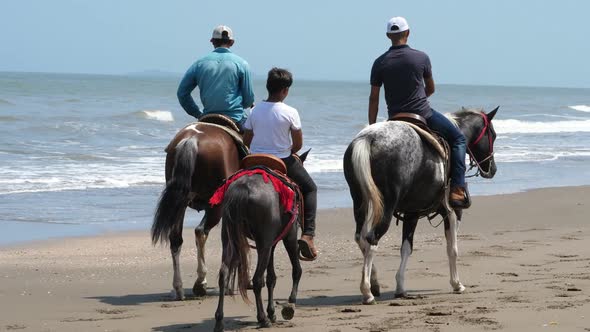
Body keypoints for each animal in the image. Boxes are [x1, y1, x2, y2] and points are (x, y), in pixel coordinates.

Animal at [155, 122, 245, 300]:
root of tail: (192, 139)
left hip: (180, 203)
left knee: (176, 239)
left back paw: (178, 288)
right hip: (216, 206)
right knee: (200, 231)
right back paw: (200, 282)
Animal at [214, 165, 308, 330]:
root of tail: (243, 188)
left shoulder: (271, 244)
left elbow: (271, 278)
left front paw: (272, 312)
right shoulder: (289, 236)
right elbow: (296, 270)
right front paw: (290, 304)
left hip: (229, 240)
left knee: (223, 275)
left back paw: (219, 321)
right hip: (264, 243)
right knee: (257, 279)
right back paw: (263, 318)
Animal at [344, 106, 502, 304]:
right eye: (493, 135)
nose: (492, 169)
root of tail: (368, 138)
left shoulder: (411, 213)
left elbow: (406, 248)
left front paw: (400, 287)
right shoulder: (452, 212)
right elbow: (452, 249)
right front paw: (457, 284)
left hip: (359, 201)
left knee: (361, 238)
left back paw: (374, 283)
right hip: (386, 206)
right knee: (372, 240)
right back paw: (367, 292)